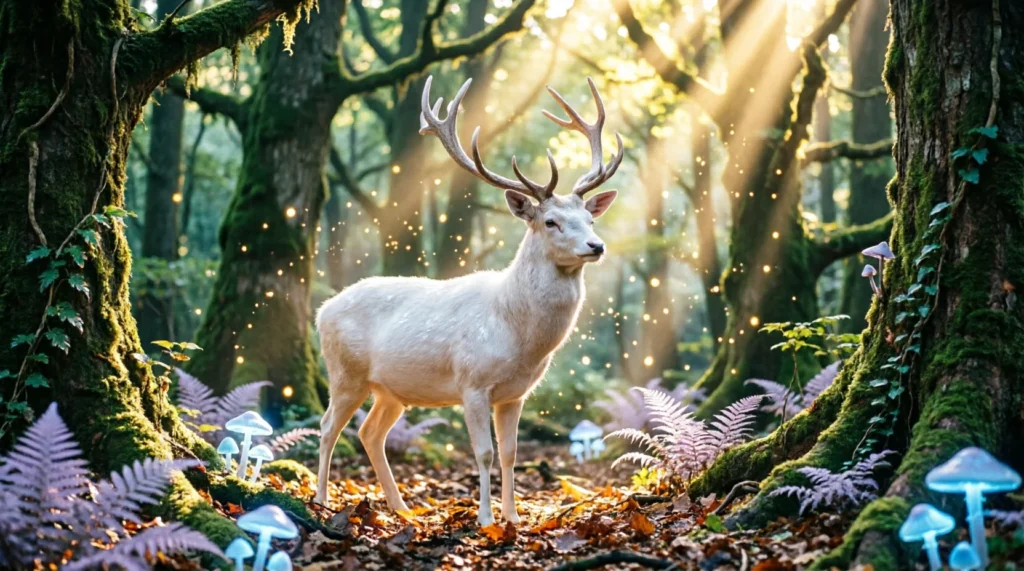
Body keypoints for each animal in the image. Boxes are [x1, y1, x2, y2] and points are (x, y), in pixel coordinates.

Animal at [314, 75, 623, 527]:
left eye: (590, 219)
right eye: (551, 221)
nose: (596, 246)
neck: (519, 335)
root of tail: (321, 312)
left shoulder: (516, 394)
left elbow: (511, 453)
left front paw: (513, 518)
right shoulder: (472, 382)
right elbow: (484, 452)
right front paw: (486, 519)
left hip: (390, 389)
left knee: (371, 432)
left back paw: (402, 508)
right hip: (345, 372)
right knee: (327, 428)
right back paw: (321, 500)